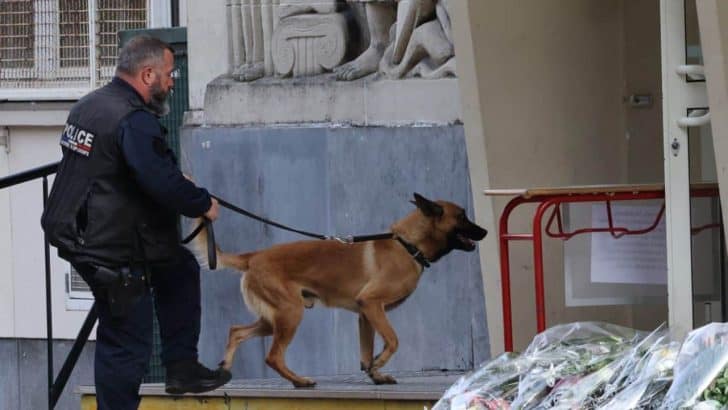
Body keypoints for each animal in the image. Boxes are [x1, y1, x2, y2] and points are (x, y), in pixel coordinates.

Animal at [193, 193, 490, 388]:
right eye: (462, 216)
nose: (485, 231)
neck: (408, 245)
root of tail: (252, 257)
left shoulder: (366, 314)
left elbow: (367, 351)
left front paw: (375, 374)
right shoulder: (372, 304)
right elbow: (393, 341)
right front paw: (379, 364)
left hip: (273, 319)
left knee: (236, 331)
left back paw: (225, 368)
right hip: (290, 314)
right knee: (272, 356)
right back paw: (300, 381)